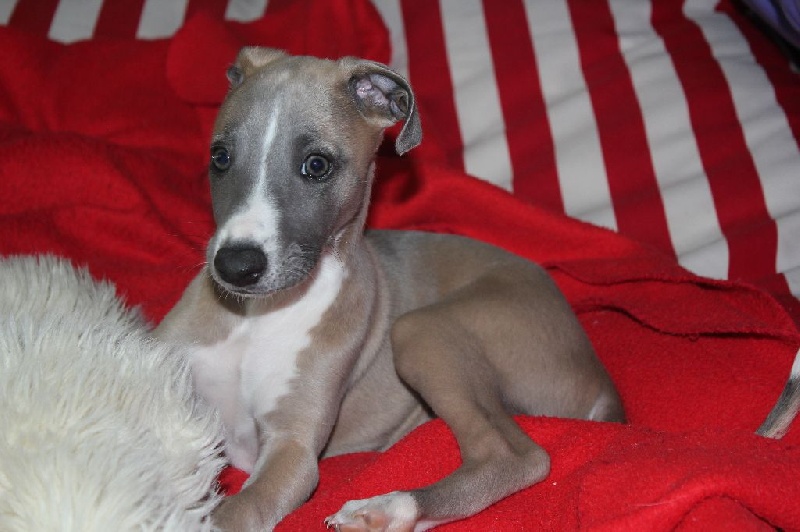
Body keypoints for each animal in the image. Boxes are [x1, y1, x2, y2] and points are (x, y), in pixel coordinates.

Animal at [155, 47, 625, 531]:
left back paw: (386, 507)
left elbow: (234, 512)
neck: (258, 317)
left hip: (422, 330)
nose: (235, 267)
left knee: (516, 455)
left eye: (317, 165)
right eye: (220, 156)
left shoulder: (293, 450)